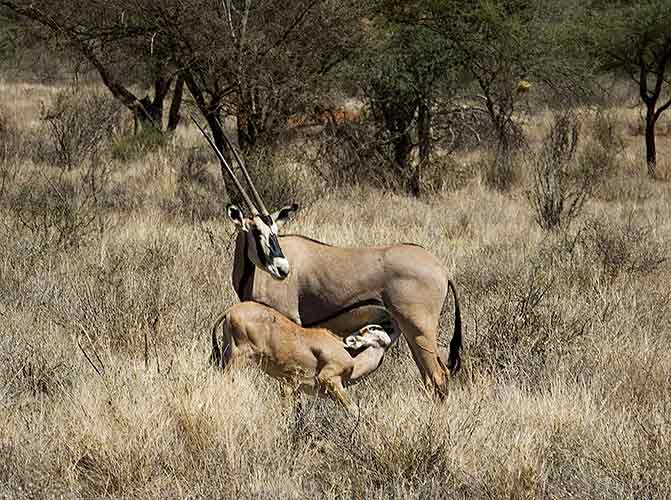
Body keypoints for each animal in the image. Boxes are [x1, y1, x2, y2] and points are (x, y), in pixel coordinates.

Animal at [211, 302, 394, 408]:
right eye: (374, 328)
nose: (391, 332)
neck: (350, 355)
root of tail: (231, 310)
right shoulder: (329, 379)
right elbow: (353, 409)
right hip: (238, 360)